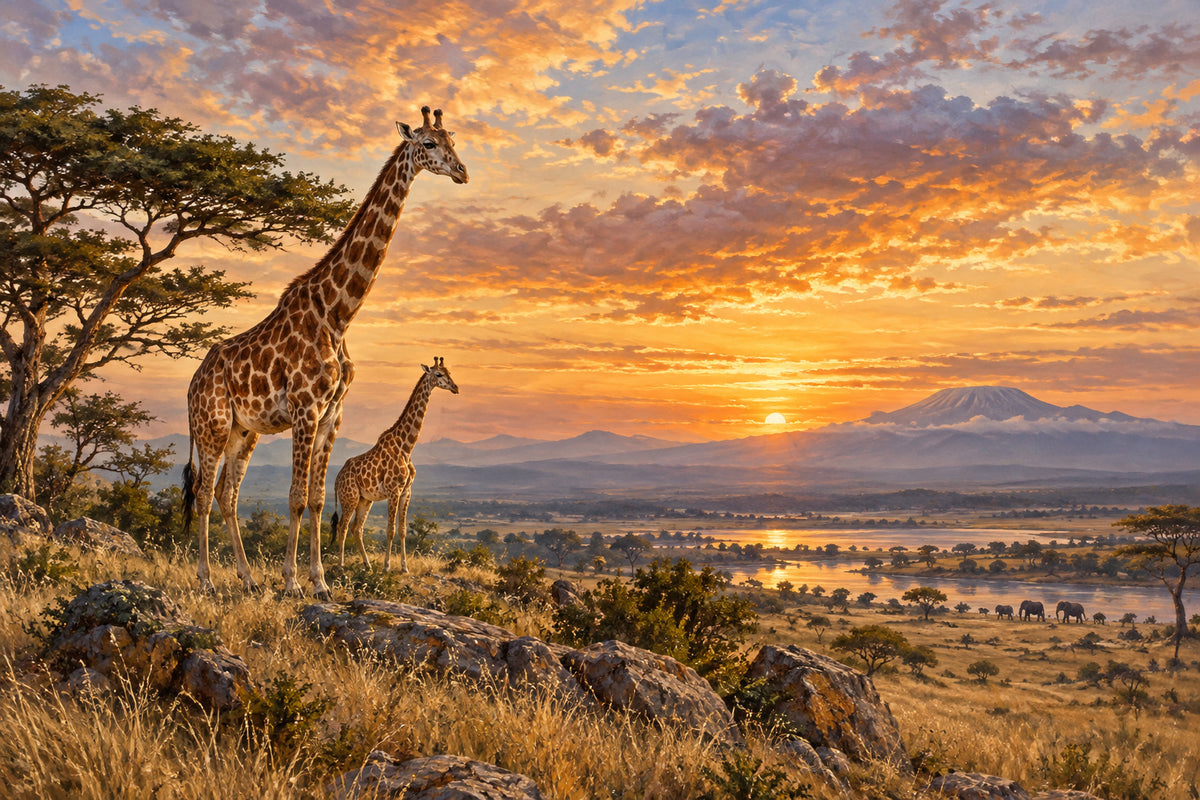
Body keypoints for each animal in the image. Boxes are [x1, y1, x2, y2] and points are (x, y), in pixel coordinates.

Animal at [331, 357, 458, 573]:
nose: (456, 387)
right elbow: (390, 530)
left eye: (450, 372)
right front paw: (387, 566)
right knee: (343, 527)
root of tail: (337, 479)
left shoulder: (407, 491)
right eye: (439, 374)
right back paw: (340, 566)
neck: (406, 447)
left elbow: (403, 530)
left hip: (365, 500)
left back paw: (367, 565)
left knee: (357, 528)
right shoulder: (393, 490)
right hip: (350, 497)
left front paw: (404, 567)